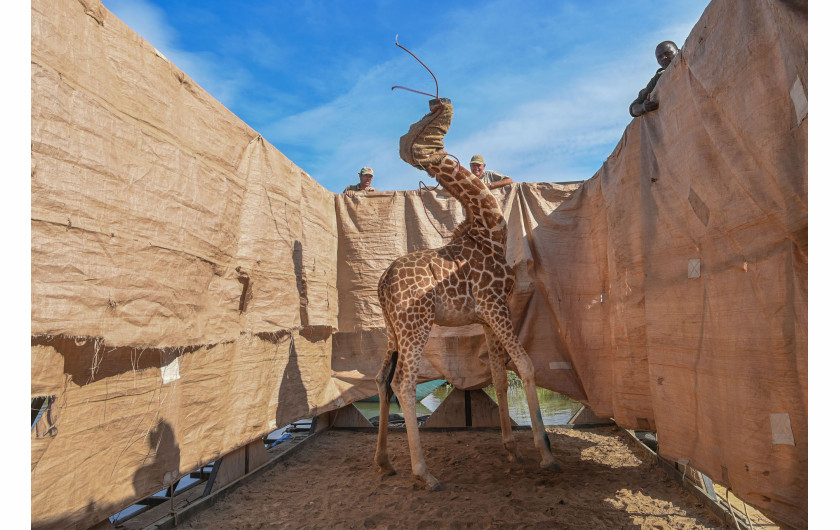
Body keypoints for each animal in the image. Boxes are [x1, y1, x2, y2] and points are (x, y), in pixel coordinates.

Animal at [372, 98, 556, 486]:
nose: (441, 102)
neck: (489, 231)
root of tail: (382, 282)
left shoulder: (487, 315)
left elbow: (500, 378)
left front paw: (512, 450)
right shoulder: (496, 305)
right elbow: (526, 365)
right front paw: (545, 453)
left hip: (393, 330)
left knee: (382, 379)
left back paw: (384, 462)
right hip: (416, 326)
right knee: (404, 383)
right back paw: (424, 474)